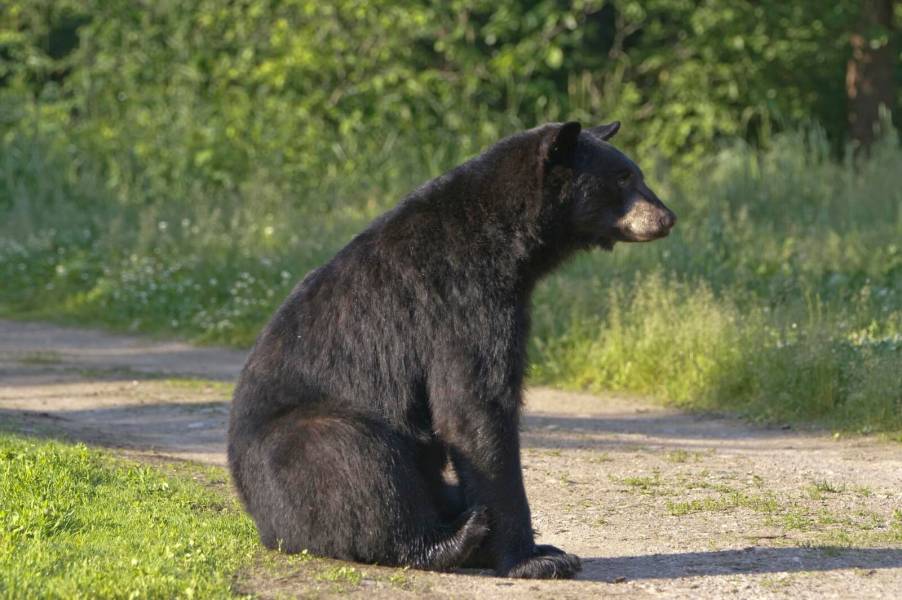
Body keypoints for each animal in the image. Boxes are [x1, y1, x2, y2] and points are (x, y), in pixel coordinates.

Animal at [227, 121, 676, 579]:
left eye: (635, 173)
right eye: (623, 177)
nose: (667, 217)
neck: (505, 241)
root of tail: (259, 519)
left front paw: (538, 548)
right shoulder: (460, 302)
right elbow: (473, 408)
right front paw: (532, 559)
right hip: (297, 447)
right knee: (353, 456)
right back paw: (451, 539)